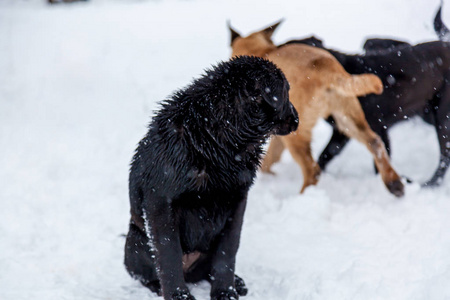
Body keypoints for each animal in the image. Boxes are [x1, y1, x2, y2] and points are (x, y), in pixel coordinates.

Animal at [124, 56, 298, 300]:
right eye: (286, 92)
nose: (297, 119)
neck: (217, 141)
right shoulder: (161, 203)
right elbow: (169, 255)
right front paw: (179, 296)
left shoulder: (237, 201)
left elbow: (227, 252)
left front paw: (225, 292)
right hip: (135, 239)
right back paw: (157, 286)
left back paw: (237, 282)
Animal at [230, 19, 402, 196]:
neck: (263, 51)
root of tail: (324, 66)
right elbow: (269, 160)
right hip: (348, 119)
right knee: (375, 143)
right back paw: (394, 183)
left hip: (297, 135)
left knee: (312, 170)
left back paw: (303, 197)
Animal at [282, 6, 450, 185]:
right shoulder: (343, 132)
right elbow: (326, 154)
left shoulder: (375, 129)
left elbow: (379, 160)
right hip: (427, 113)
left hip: (441, 117)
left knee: (444, 156)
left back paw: (429, 184)